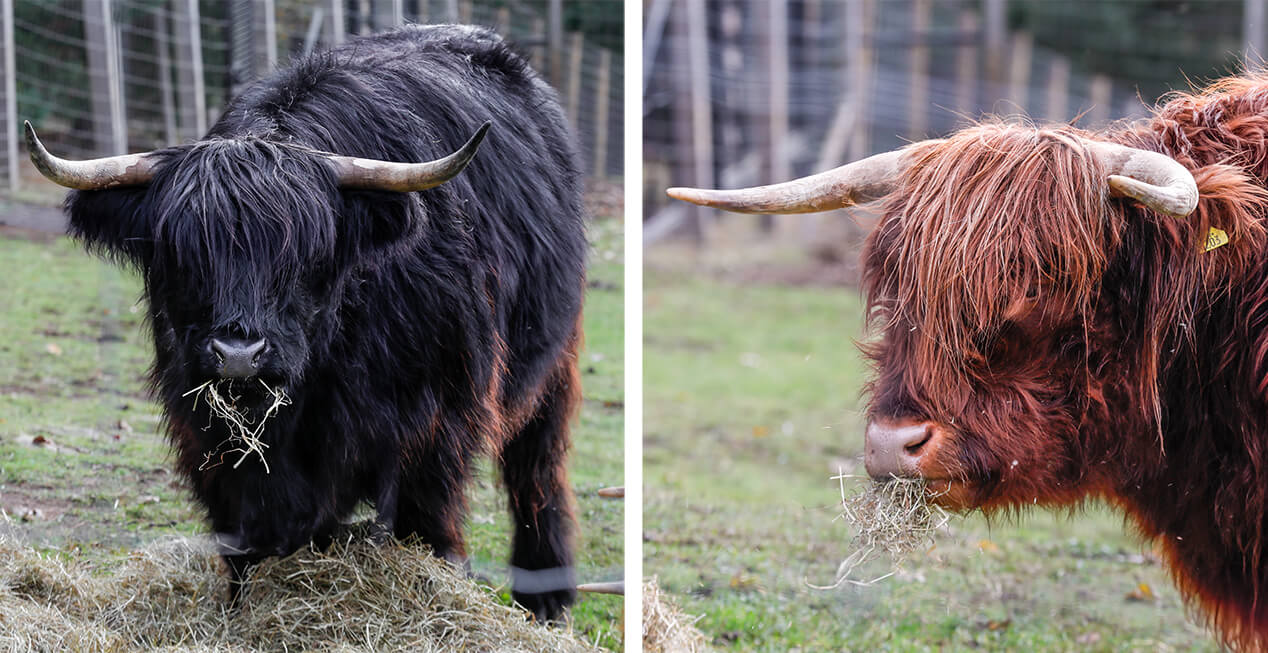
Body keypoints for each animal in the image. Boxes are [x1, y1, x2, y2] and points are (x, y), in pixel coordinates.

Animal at [27, 24, 586, 622]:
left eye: (304, 254)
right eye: (182, 254)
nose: (239, 354)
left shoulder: (440, 419)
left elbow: (427, 520)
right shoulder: (208, 432)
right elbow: (248, 532)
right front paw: (246, 613)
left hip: (553, 364)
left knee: (538, 470)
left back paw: (546, 595)